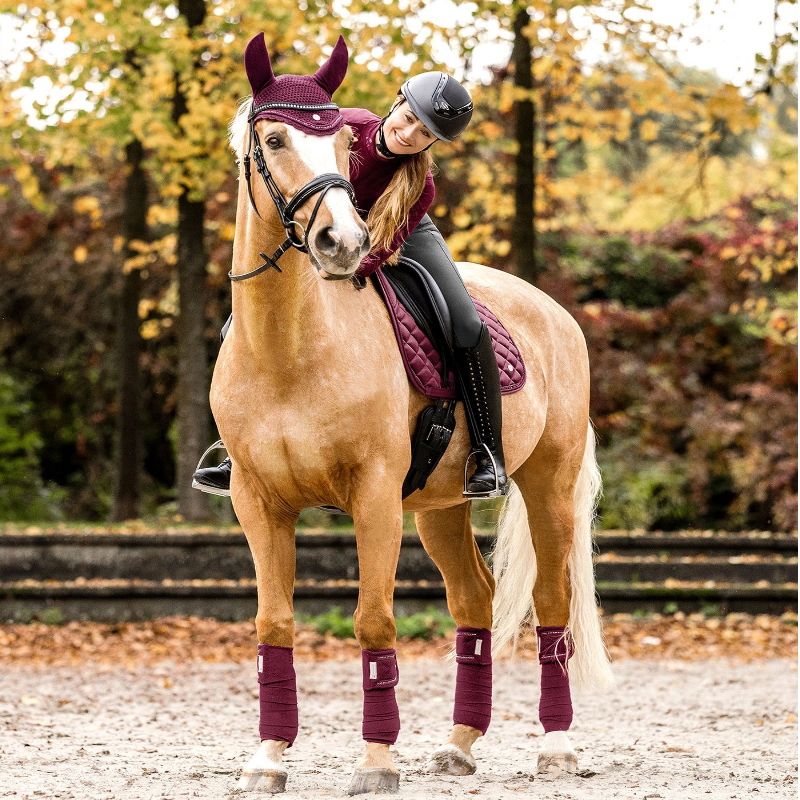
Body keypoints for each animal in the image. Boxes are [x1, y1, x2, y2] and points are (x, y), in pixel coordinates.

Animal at [210, 33, 614, 796]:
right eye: (274, 139)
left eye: (342, 144)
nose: (343, 244)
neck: (288, 349)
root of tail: (552, 310)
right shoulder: (257, 501)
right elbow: (274, 624)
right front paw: (268, 758)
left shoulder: (372, 497)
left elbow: (374, 622)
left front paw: (376, 761)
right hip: (439, 507)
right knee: (475, 602)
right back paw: (459, 745)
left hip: (546, 486)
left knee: (551, 603)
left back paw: (557, 747)